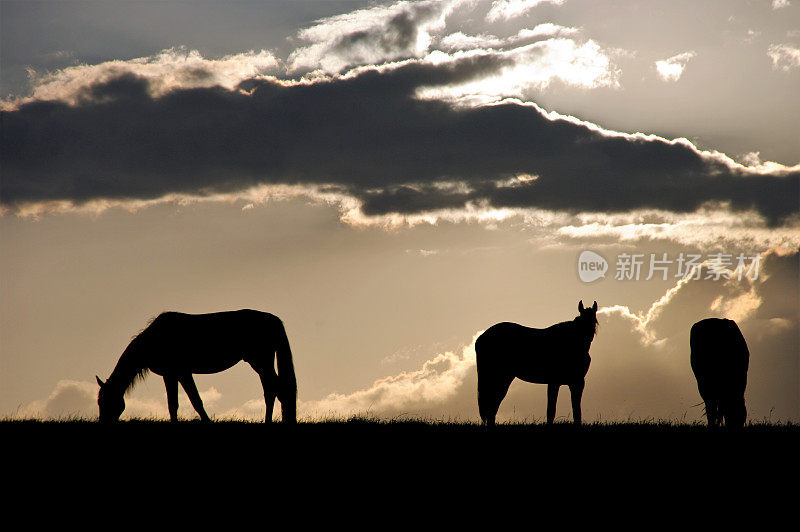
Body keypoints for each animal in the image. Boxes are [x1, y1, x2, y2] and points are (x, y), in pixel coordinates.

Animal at [96, 310, 296, 422]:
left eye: (104, 401)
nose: (103, 422)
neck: (154, 340)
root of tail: (275, 320)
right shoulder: (176, 374)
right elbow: (183, 403)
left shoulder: (178, 373)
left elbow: (186, 402)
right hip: (262, 364)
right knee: (272, 391)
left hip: (261, 362)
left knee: (277, 390)